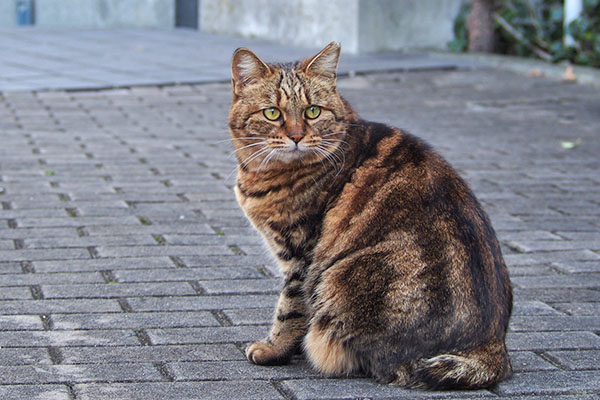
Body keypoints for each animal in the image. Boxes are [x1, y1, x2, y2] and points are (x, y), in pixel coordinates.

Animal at [227, 42, 512, 390]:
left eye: (313, 111)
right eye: (272, 113)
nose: (296, 136)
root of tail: (493, 345)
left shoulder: (301, 255)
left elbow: (290, 309)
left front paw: (274, 348)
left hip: (340, 277)